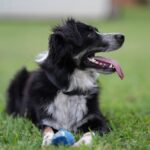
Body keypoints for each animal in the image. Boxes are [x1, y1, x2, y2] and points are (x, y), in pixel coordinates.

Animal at [5, 18, 124, 146]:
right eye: (90, 34)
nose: (122, 36)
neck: (70, 90)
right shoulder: (44, 121)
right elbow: (48, 130)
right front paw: (47, 141)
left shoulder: (100, 121)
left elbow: (90, 132)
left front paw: (80, 144)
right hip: (18, 77)